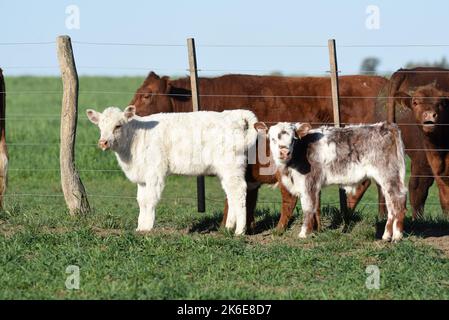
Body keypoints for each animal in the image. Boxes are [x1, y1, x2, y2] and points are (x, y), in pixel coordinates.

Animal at [86, 106, 258, 234]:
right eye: (100, 126)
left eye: (118, 125)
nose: (103, 142)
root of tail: (233, 115)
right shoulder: (142, 177)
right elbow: (141, 200)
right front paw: (140, 227)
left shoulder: (155, 173)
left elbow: (150, 200)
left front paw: (147, 228)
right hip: (225, 171)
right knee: (231, 194)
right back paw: (228, 228)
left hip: (232, 166)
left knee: (239, 192)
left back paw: (239, 231)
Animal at [130, 72, 384, 232]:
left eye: (147, 95)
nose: (129, 112)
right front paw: (243, 224)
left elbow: (233, 197)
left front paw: (230, 226)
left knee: (365, 184)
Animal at [256, 121, 406, 241]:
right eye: (272, 139)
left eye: (293, 139)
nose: (284, 152)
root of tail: (384, 125)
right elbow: (314, 207)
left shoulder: (309, 183)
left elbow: (308, 208)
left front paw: (304, 233)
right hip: (386, 179)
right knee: (391, 204)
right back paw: (386, 235)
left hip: (389, 175)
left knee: (398, 199)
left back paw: (397, 236)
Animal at [384, 67, 448, 218]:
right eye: (416, 102)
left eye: (441, 103)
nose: (429, 115)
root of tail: (406, 71)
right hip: (422, 159)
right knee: (418, 187)